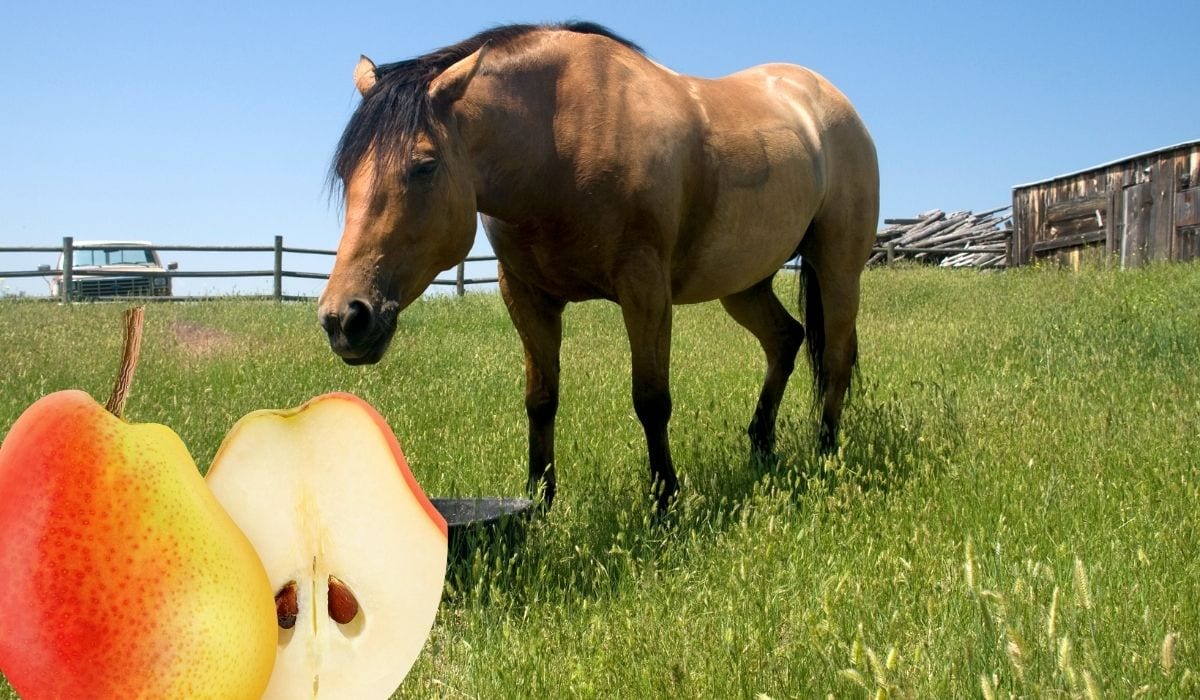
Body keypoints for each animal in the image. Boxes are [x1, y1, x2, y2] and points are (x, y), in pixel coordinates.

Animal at [318, 22, 879, 512]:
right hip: (744, 283)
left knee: (835, 358)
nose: (345, 319)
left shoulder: (645, 289)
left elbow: (651, 399)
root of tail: (827, 99)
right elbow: (541, 399)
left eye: (425, 165)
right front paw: (540, 502)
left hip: (837, 266)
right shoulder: (527, 296)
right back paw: (761, 448)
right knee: (786, 339)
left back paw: (826, 453)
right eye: (346, 170)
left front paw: (665, 502)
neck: (558, 143)